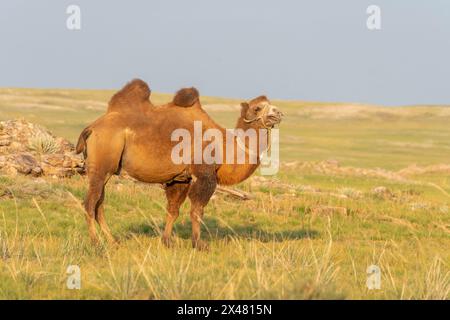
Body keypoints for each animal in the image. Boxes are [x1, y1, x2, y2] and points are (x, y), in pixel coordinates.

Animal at [75, 79, 284, 250]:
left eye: (271, 105)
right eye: (257, 108)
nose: (279, 113)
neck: (226, 147)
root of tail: (91, 128)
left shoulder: (181, 178)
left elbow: (173, 210)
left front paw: (167, 241)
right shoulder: (204, 175)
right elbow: (197, 210)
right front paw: (199, 244)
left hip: (105, 170)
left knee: (99, 203)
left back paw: (113, 241)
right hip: (101, 164)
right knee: (90, 203)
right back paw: (96, 243)